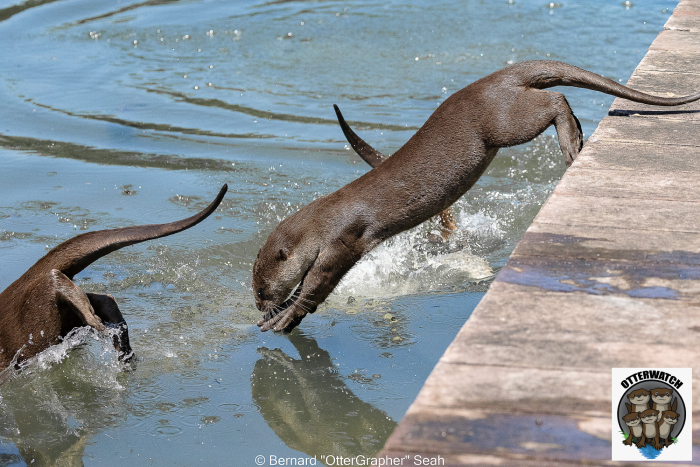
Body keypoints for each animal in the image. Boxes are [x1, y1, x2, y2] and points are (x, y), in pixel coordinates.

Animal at [253, 60, 700, 332]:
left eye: (260, 288)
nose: (258, 305)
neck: (323, 219)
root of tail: (494, 79)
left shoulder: (344, 240)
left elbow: (317, 283)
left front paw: (285, 316)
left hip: (503, 123)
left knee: (552, 101)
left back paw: (571, 142)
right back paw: (576, 133)